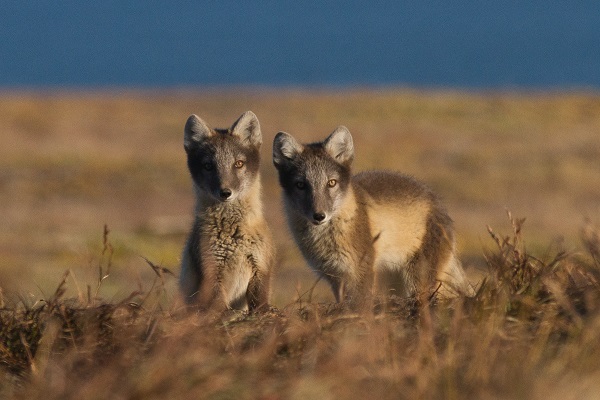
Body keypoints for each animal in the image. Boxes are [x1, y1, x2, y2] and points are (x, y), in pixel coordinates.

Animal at [179, 111, 276, 310]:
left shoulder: (261, 267)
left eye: (238, 163)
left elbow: (260, 304)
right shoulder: (211, 271)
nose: (225, 192)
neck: (234, 235)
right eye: (208, 166)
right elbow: (218, 306)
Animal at [272, 126, 474, 310]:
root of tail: (439, 205)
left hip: (418, 279)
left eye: (331, 183)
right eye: (300, 185)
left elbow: (360, 303)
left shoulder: (361, 270)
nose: (319, 215)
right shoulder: (334, 276)